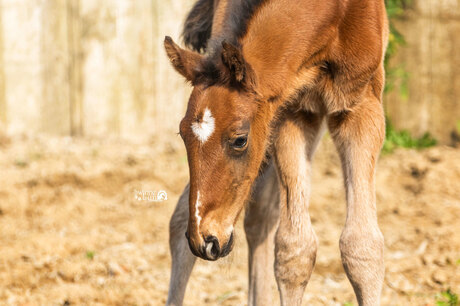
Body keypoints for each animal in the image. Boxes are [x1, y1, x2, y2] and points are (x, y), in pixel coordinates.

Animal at [165, 1, 388, 304]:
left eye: (239, 140)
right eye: (182, 134)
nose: (206, 241)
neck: (333, 14)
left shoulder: (362, 105)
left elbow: (363, 248)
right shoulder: (291, 110)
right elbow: (295, 250)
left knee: (255, 217)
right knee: (192, 219)